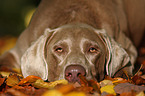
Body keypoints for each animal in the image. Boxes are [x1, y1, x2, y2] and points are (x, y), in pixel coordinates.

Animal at [0, 0, 145, 82]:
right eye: (59, 49)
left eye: (92, 49)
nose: (75, 72)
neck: (75, 15)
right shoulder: (16, 51)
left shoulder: (128, 45)